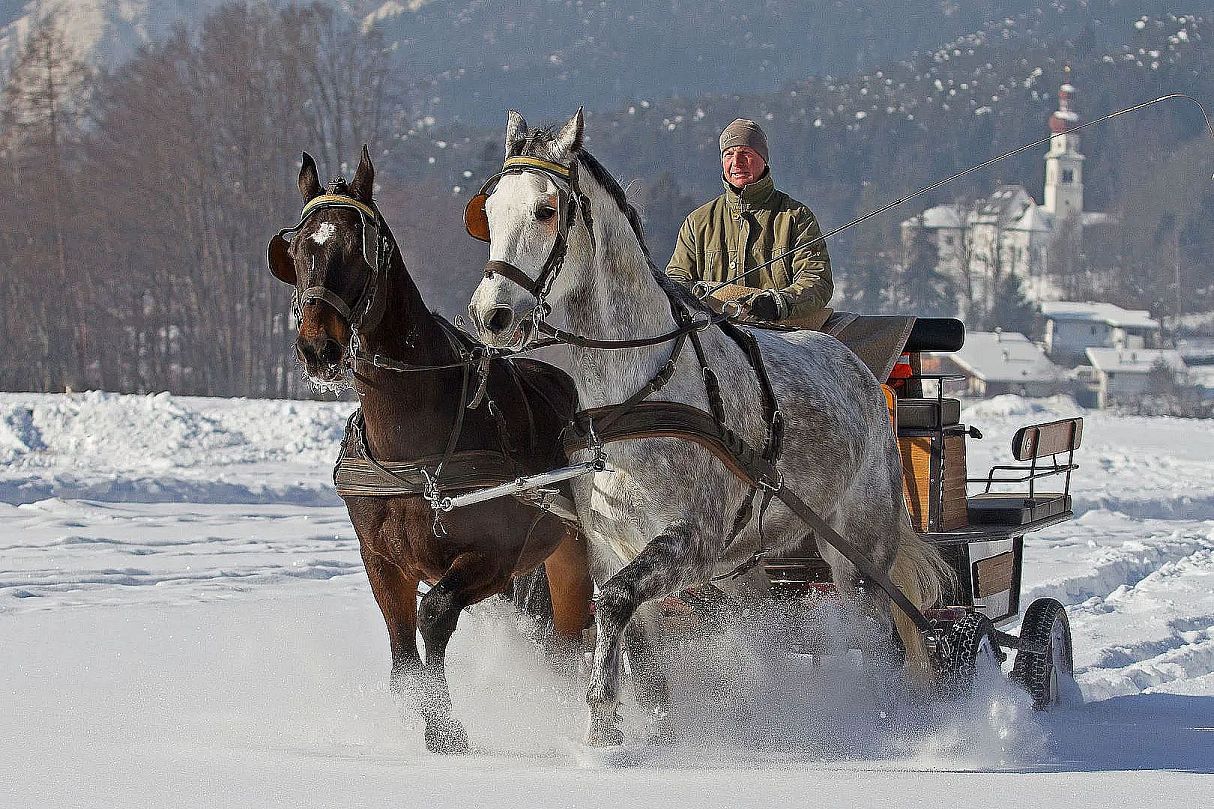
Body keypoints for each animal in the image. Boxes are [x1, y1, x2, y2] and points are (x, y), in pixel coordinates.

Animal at [267, 146, 592, 748]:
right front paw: (422, 717)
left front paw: (445, 730)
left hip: (569, 553)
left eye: (358, 250)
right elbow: (402, 653)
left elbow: (434, 613)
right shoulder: (381, 560)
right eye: (297, 251)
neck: (410, 445)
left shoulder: (494, 555)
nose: (318, 350)